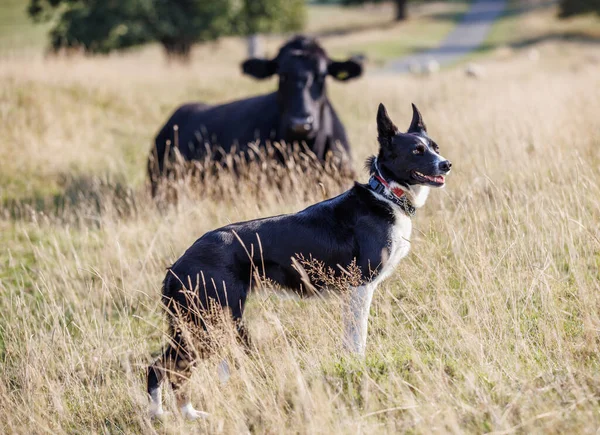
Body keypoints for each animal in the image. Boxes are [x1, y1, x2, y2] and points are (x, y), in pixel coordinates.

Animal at [149, 102, 450, 418]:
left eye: (435, 148)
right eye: (417, 151)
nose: (446, 164)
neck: (386, 195)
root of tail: (178, 266)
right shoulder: (360, 287)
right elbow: (358, 338)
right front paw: (358, 367)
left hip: (203, 323)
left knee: (162, 368)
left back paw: (168, 415)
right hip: (210, 322)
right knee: (166, 369)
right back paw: (177, 415)